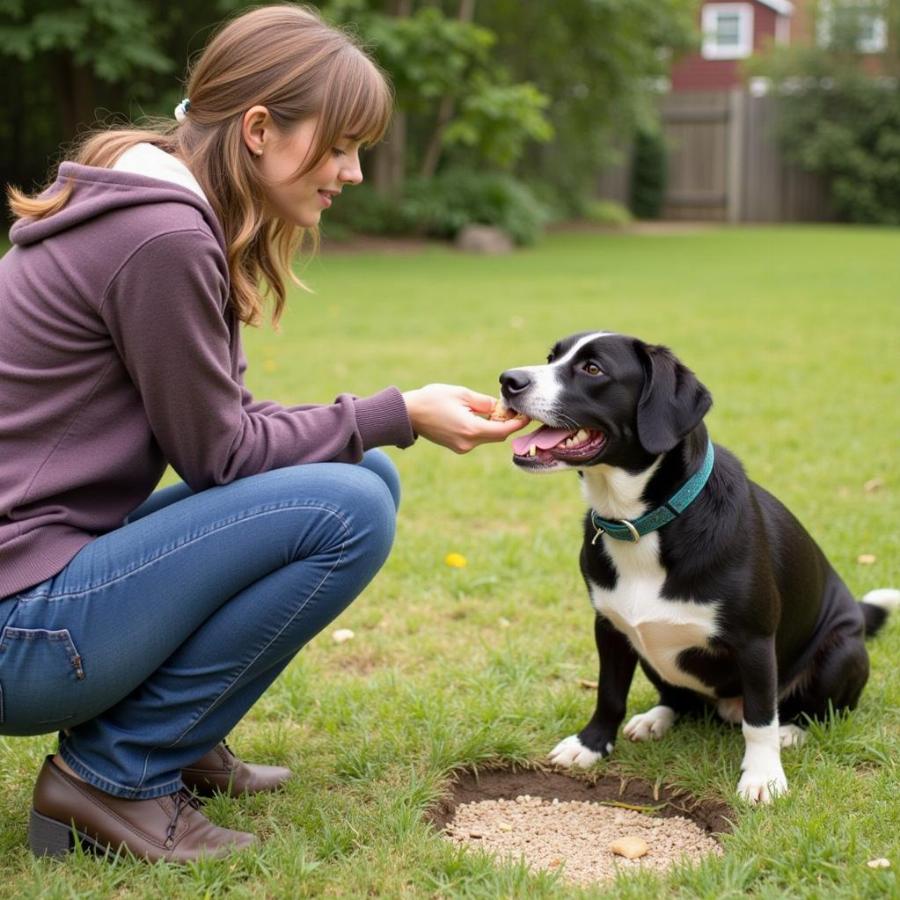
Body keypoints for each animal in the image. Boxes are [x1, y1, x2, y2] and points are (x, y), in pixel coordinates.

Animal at [500, 334, 900, 804]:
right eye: (552, 357)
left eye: (593, 369)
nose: (508, 380)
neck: (640, 523)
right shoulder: (610, 627)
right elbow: (609, 693)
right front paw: (591, 744)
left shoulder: (755, 642)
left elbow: (760, 718)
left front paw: (762, 776)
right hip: (650, 650)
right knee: (682, 699)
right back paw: (656, 718)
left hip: (841, 652)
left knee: (814, 710)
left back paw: (793, 731)